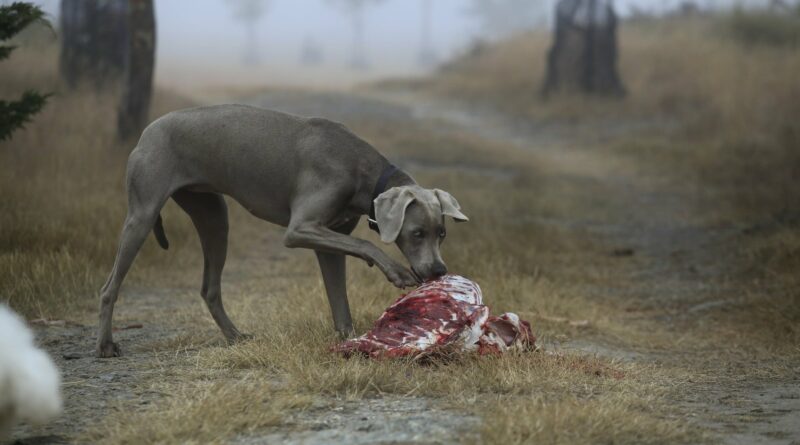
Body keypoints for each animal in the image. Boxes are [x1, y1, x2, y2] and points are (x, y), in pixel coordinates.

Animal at [94, 104, 468, 358]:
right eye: (417, 233)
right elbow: (365, 243)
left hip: (214, 215)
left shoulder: (328, 240)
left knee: (209, 287)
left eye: (442, 233)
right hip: (142, 214)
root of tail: (147, 130)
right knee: (109, 286)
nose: (439, 270)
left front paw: (349, 340)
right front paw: (395, 271)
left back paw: (235, 336)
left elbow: (340, 299)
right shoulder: (300, 229)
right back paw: (106, 345)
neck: (363, 170)